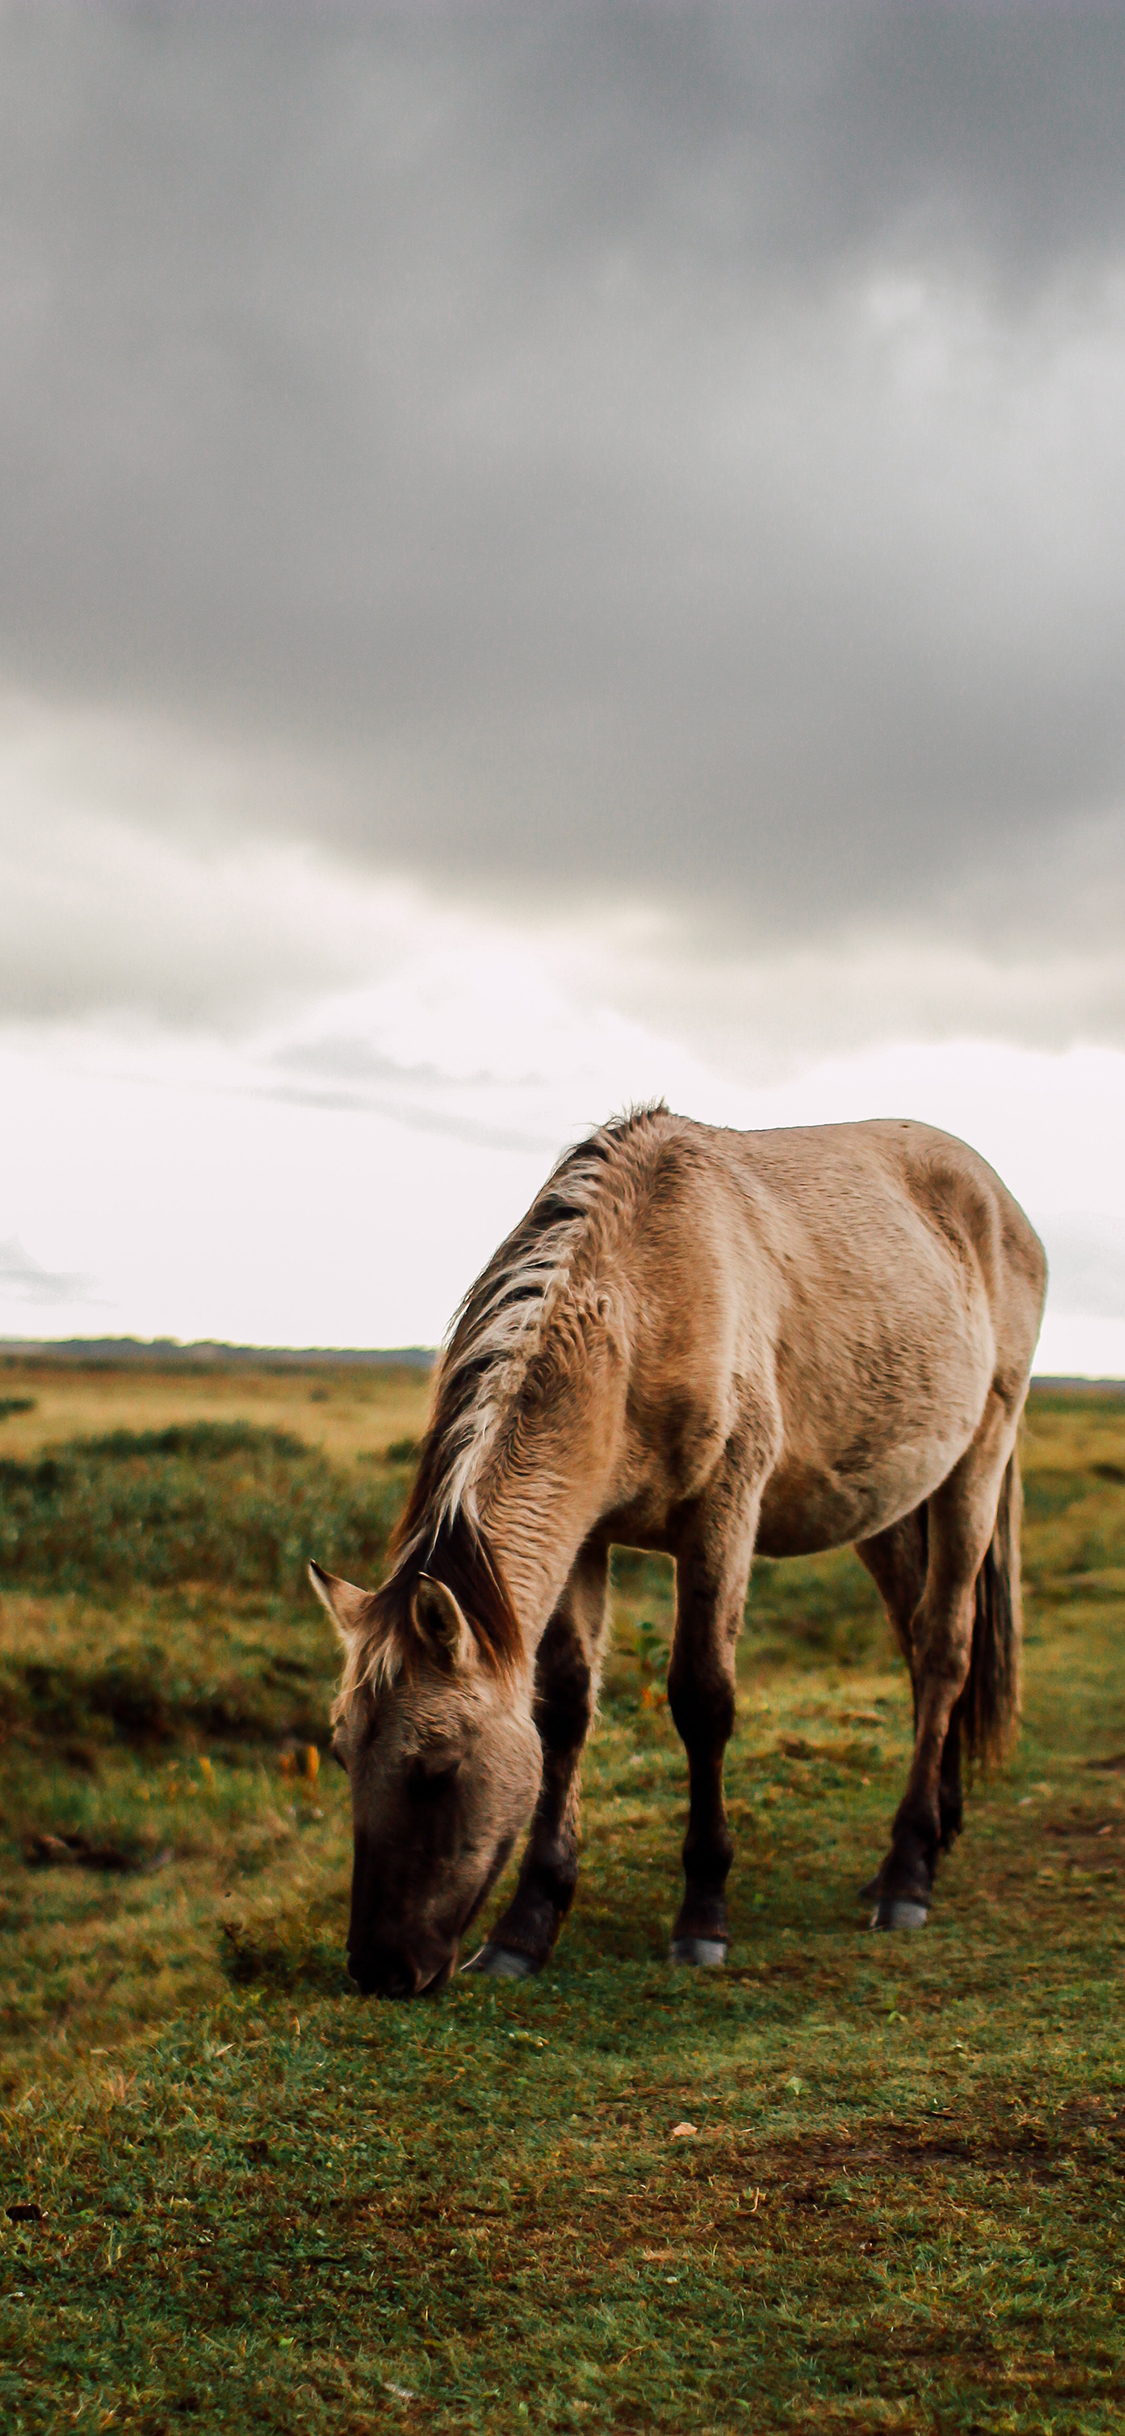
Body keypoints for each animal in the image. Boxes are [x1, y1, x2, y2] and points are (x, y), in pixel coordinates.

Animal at [308, 1105, 1047, 1997]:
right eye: (342, 1753)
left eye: (438, 1768)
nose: (378, 1969)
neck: (643, 1301)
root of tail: (996, 1200)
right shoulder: (584, 1538)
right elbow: (563, 1710)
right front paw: (527, 1927)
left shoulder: (721, 1516)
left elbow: (702, 1699)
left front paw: (702, 1916)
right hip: (888, 1507)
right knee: (914, 1641)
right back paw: (934, 1831)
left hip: (978, 1461)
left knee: (942, 1648)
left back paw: (906, 1873)